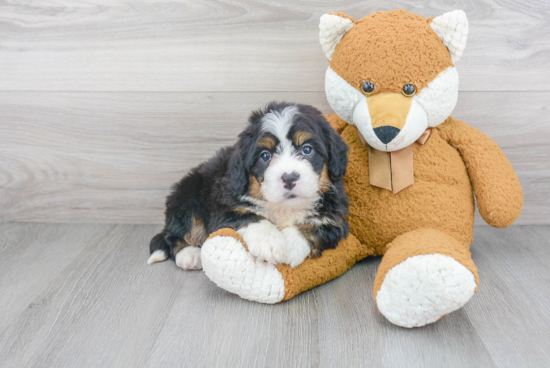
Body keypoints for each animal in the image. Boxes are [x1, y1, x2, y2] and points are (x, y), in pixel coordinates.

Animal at [147, 102, 352, 268]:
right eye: (265, 156)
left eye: (307, 149)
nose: (289, 178)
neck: (284, 207)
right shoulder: (226, 208)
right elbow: (251, 216)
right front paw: (270, 242)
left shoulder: (335, 219)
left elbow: (313, 226)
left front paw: (290, 245)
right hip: (188, 197)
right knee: (175, 234)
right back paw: (189, 254)